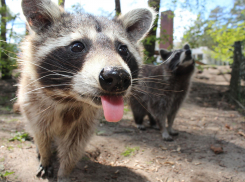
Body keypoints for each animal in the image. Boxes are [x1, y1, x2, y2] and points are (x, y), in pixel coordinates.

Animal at [18, 0, 154, 181]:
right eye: (77, 46)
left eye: (123, 49)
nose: (117, 77)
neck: (71, 98)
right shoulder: (33, 101)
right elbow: (41, 132)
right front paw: (45, 156)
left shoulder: (86, 119)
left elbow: (75, 145)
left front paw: (65, 171)